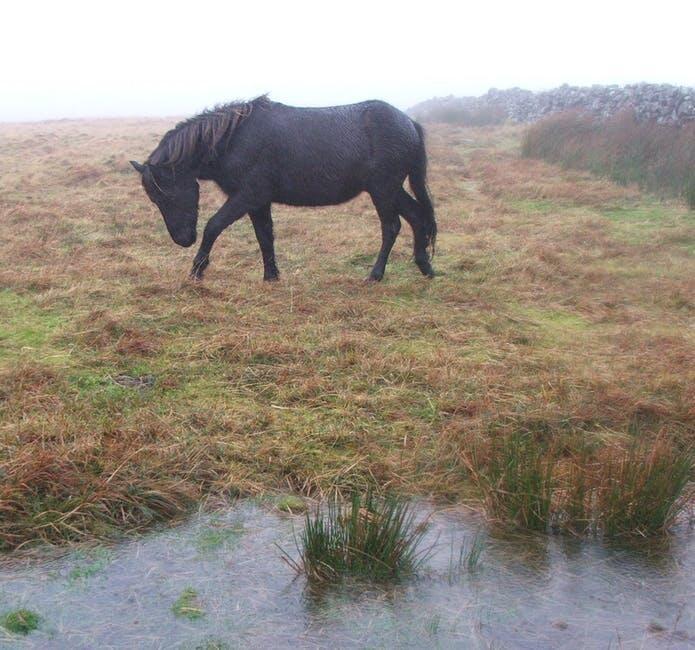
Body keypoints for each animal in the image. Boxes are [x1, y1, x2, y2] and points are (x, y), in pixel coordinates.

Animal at [130, 96, 436, 280]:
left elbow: (213, 226)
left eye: (164, 196)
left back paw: (375, 274)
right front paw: (271, 276)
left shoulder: (246, 196)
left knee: (392, 227)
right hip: (390, 189)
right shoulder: (258, 202)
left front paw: (197, 270)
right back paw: (425, 266)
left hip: (382, 190)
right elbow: (265, 236)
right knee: (416, 217)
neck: (234, 139)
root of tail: (409, 123)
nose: (182, 240)